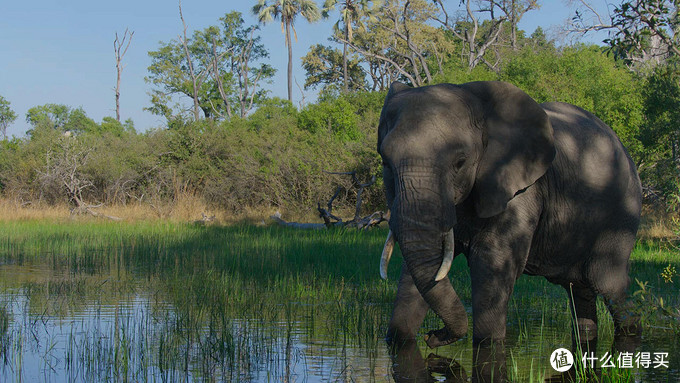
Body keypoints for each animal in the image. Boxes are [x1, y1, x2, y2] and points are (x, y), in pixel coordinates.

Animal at [378, 80, 644, 380]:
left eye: (460, 162)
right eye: (385, 162)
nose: (432, 336)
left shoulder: (520, 188)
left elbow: (490, 262)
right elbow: (418, 272)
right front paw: (403, 336)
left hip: (622, 214)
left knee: (609, 284)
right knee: (580, 292)